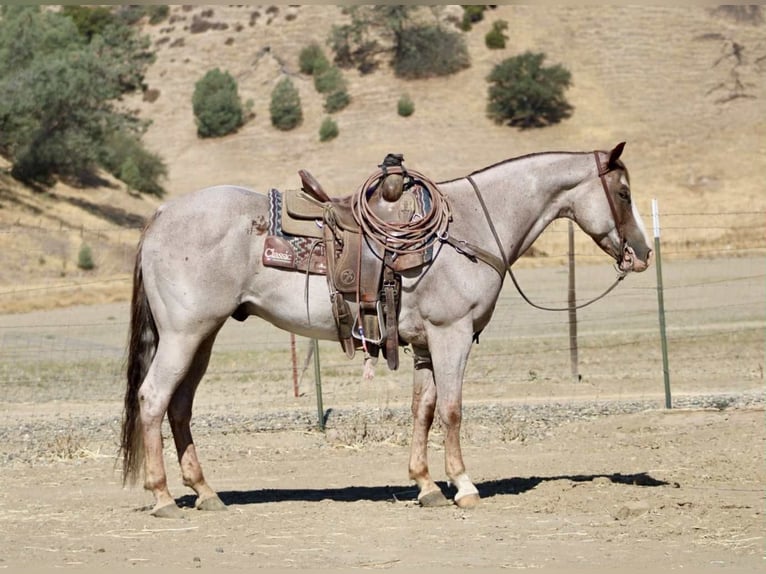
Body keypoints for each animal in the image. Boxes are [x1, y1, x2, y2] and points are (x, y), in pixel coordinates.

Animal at [120, 142, 652, 518]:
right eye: (624, 193)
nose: (642, 253)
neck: (471, 226)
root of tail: (162, 215)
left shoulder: (424, 343)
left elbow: (423, 410)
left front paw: (426, 485)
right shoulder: (452, 334)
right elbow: (452, 410)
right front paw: (464, 486)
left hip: (202, 338)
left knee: (180, 406)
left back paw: (206, 492)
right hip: (184, 335)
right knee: (153, 398)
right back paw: (163, 497)